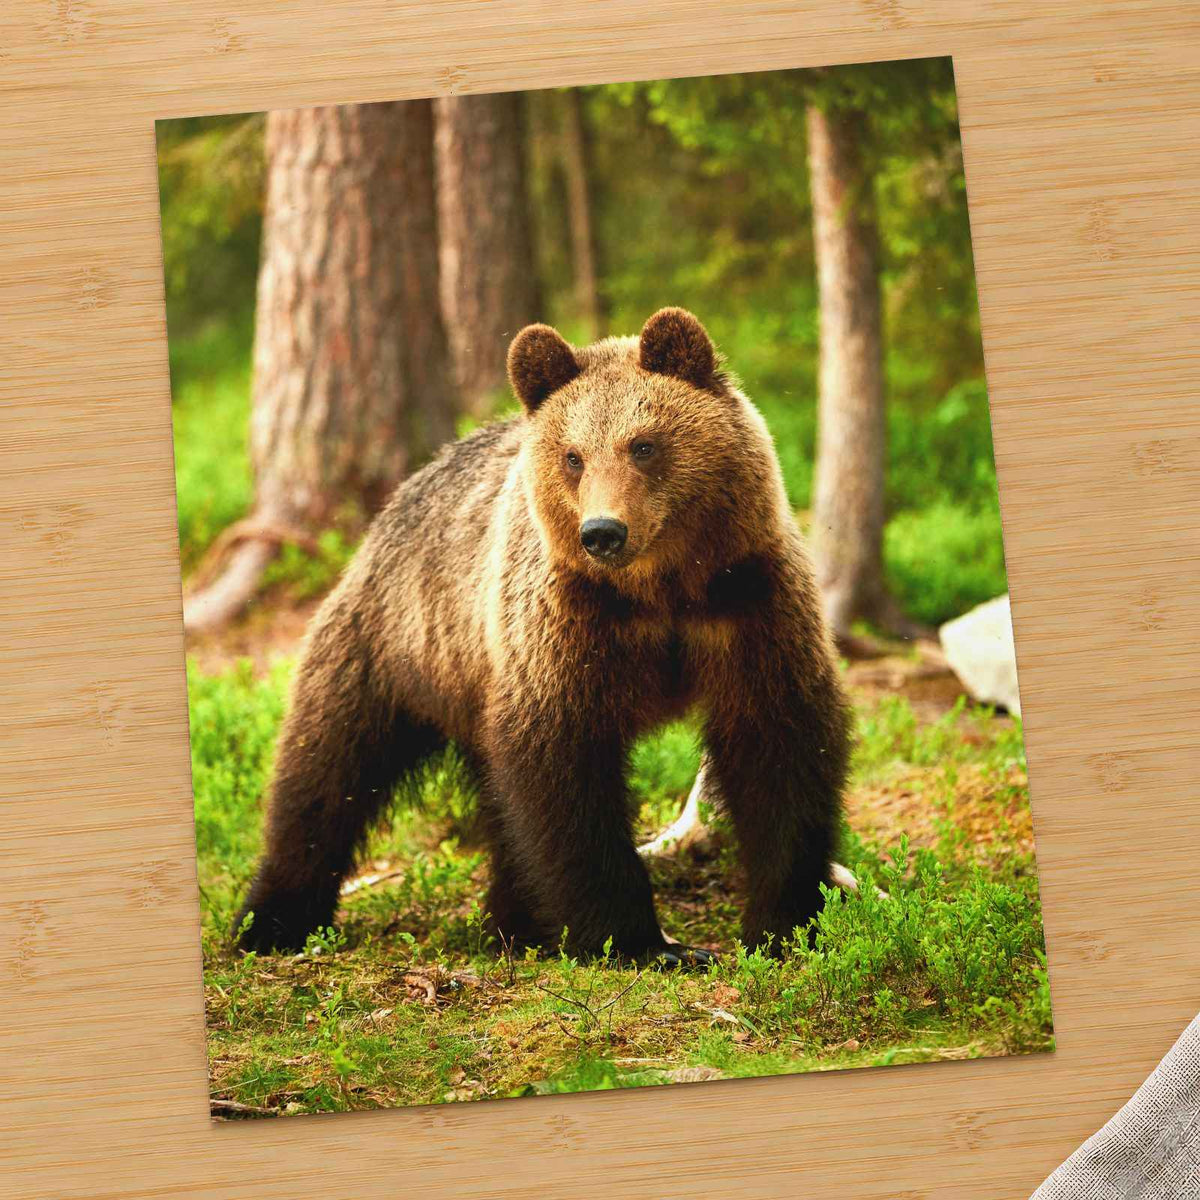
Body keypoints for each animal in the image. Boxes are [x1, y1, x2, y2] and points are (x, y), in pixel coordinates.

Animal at [234, 307, 851, 966]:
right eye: (574, 456)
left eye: (644, 444)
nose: (603, 531)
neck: (661, 590)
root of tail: (389, 507)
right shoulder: (564, 627)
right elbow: (563, 773)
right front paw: (639, 940)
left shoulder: (747, 604)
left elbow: (779, 746)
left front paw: (784, 923)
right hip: (395, 644)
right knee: (325, 771)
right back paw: (271, 919)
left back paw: (515, 920)